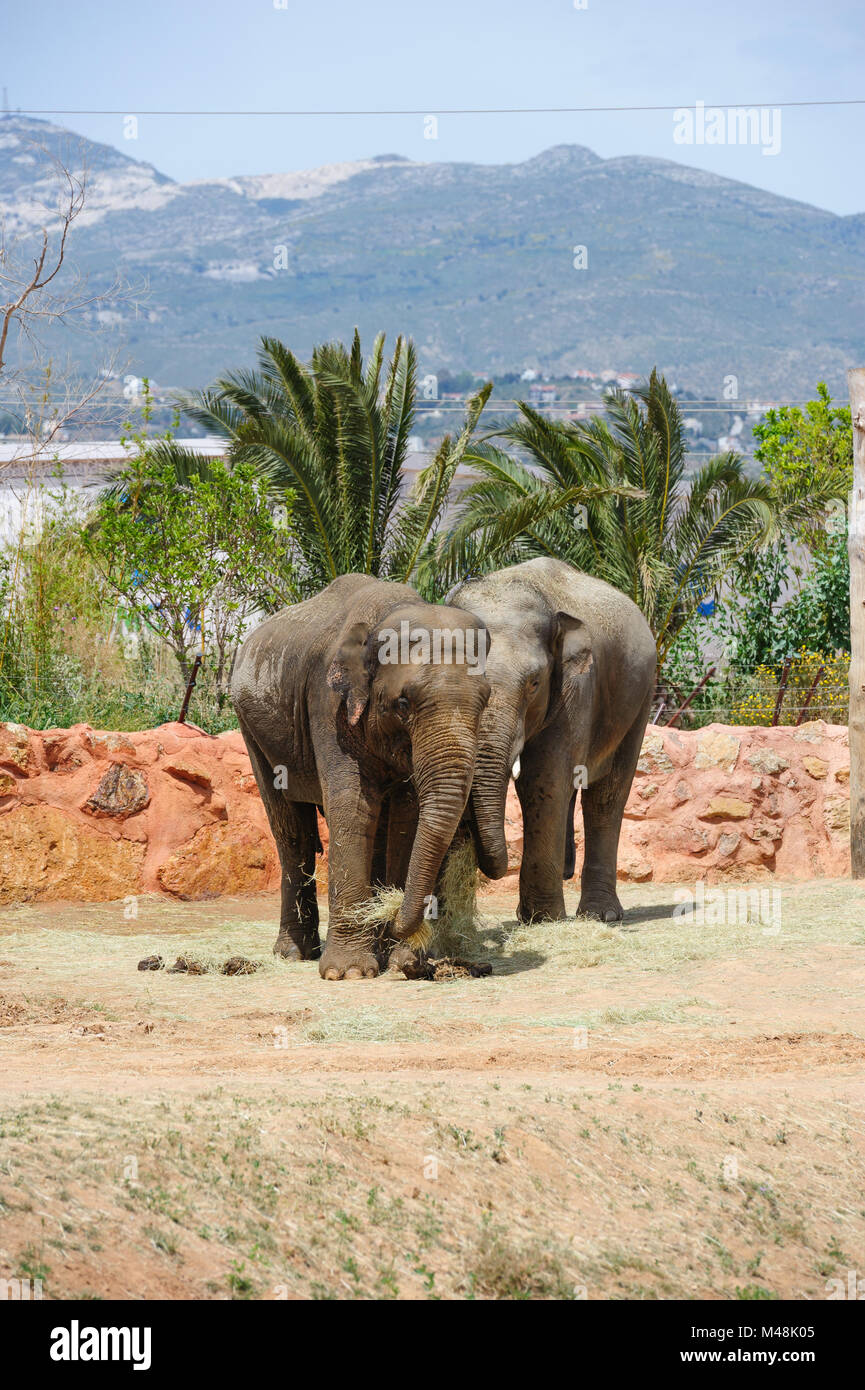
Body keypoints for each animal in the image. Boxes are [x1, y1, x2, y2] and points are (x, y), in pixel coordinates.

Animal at [230, 572, 492, 978]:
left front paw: (399, 961)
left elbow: (406, 819)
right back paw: (294, 953)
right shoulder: (327, 703)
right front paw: (349, 972)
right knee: (291, 831)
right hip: (252, 729)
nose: (398, 919)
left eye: (486, 699)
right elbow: (351, 807)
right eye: (403, 703)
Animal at [453, 553, 656, 922]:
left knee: (607, 796)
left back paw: (601, 915)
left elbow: (543, 776)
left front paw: (542, 918)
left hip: (640, 696)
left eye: (534, 683)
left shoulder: (575, 684)